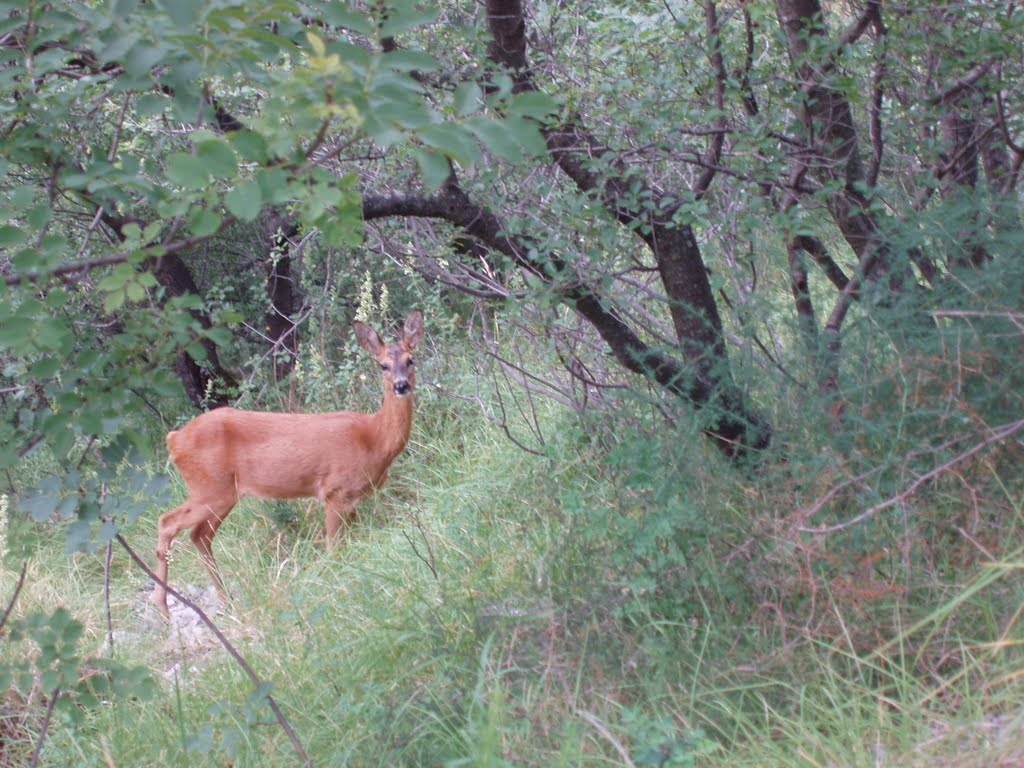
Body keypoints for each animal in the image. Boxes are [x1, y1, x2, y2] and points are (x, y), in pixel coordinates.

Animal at [148, 309, 423, 618]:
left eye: (410, 359)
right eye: (383, 365)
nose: (401, 385)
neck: (374, 438)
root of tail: (174, 439)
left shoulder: (352, 500)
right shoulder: (335, 492)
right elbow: (333, 548)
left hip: (222, 493)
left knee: (200, 535)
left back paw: (225, 600)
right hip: (209, 488)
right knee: (167, 522)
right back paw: (162, 607)